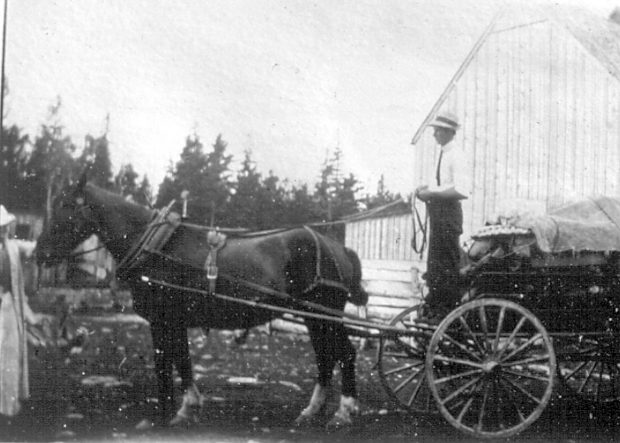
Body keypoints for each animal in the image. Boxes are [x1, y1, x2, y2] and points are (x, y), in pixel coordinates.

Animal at [36, 176, 368, 430]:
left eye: (66, 206)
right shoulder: (168, 321)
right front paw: (179, 409)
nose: (39, 253)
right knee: (325, 358)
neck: (156, 246)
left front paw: (173, 412)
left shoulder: (167, 319)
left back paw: (343, 412)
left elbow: (171, 361)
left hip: (322, 314)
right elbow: (175, 361)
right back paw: (312, 411)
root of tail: (338, 247)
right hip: (313, 318)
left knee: (345, 354)